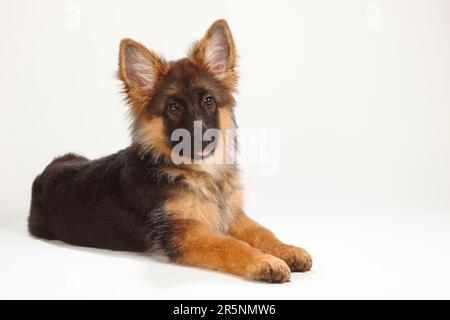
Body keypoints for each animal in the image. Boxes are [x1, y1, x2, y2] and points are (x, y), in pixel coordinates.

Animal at [27, 19, 310, 282]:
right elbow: (229, 245)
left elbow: (261, 231)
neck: (199, 173)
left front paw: (286, 249)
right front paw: (264, 261)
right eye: (174, 108)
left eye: (208, 101)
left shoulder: (231, 215)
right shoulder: (185, 232)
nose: (203, 139)